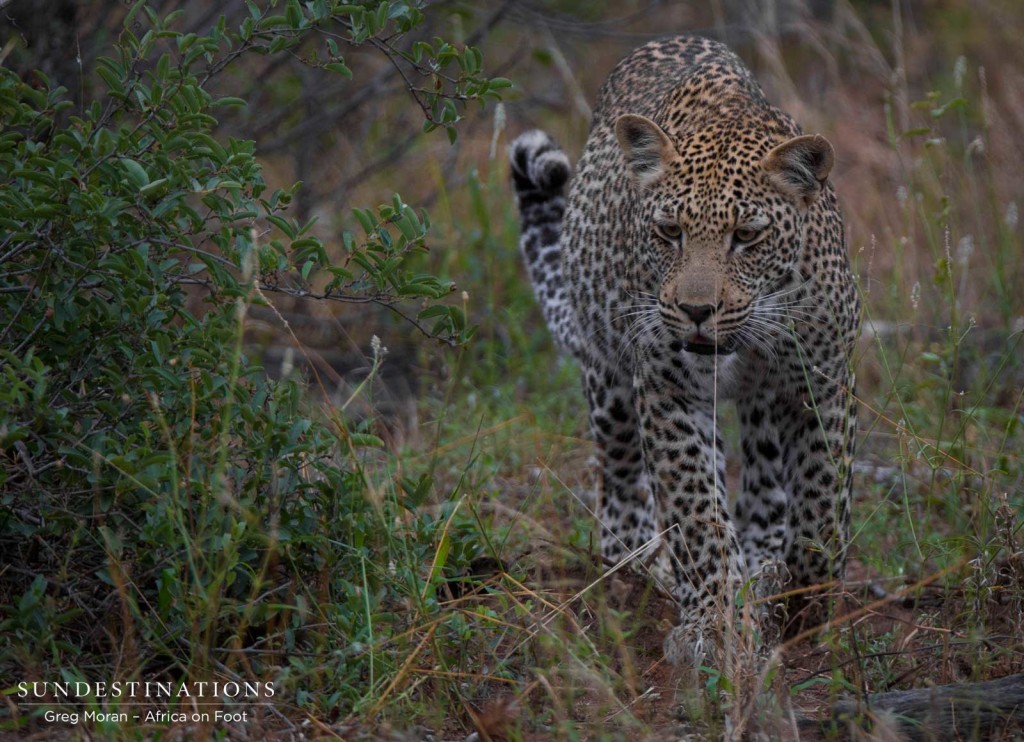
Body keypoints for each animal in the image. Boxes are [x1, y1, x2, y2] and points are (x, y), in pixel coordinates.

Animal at [509, 36, 856, 667]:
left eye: (747, 236)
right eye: (669, 232)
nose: (696, 311)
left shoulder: (820, 381)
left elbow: (822, 506)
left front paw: (805, 603)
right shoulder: (668, 392)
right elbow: (698, 517)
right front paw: (714, 628)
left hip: (761, 407)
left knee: (764, 485)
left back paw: (763, 570)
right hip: (609, 383)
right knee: (623, 497)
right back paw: (653, 568)